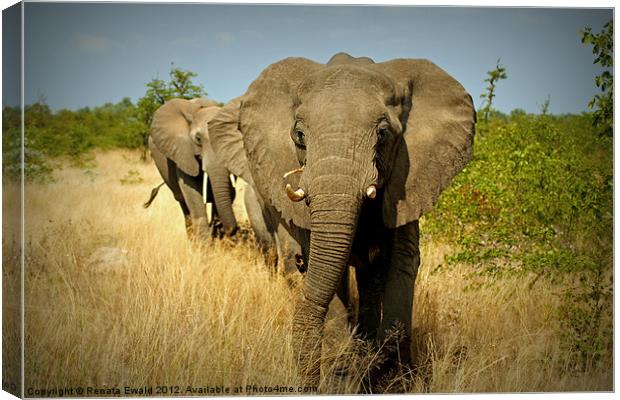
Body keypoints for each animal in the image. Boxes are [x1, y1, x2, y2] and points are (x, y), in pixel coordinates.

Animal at [144, 97, 239, 241]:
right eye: (198, 139)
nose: (233, 230)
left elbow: (227, 193)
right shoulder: (182, 152)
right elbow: (192, 193)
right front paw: (205, 246)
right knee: (183, 204)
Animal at [208, 52, 474, 384]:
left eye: (383, 135)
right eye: (299, 136)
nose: (310, 383)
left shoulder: (409, 177)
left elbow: (400, 262)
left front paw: (391, 377)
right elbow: (325, 266)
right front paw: (343, 367)